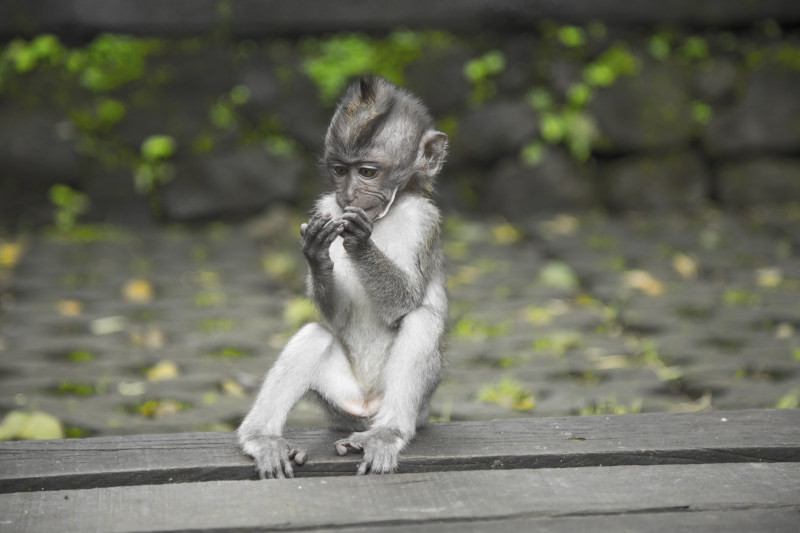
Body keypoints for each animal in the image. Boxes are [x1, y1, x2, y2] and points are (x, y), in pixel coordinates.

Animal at [238, 72, 450, 476]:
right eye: (339, 170)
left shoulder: (425, 220)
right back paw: (263, 438)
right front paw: (317, 254)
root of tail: (365, 407)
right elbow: (335, 316)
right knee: (313, 334)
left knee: (421, 322)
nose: (349, 195)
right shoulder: (325, 205)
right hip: (337, 401)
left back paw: (386, 434)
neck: (386, 215)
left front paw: (361, 243)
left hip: (419, 406)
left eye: (367, 172)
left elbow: (406, 302)